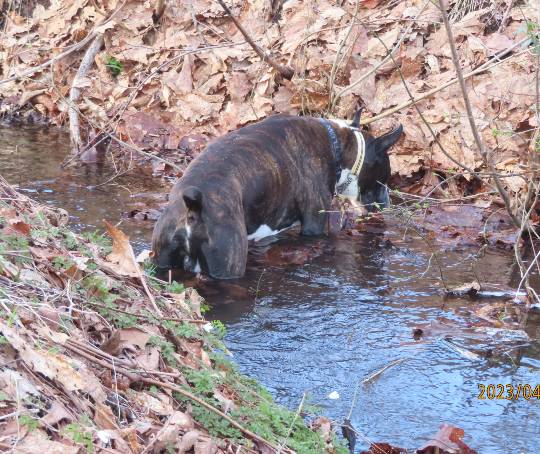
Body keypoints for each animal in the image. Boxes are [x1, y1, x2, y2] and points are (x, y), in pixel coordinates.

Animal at [151, 114, 400, 276]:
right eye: (384, 178)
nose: (387, 201)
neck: (338, 145)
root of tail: (193, 209)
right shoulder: (315, 222)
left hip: (163, 257)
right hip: (228, 262)